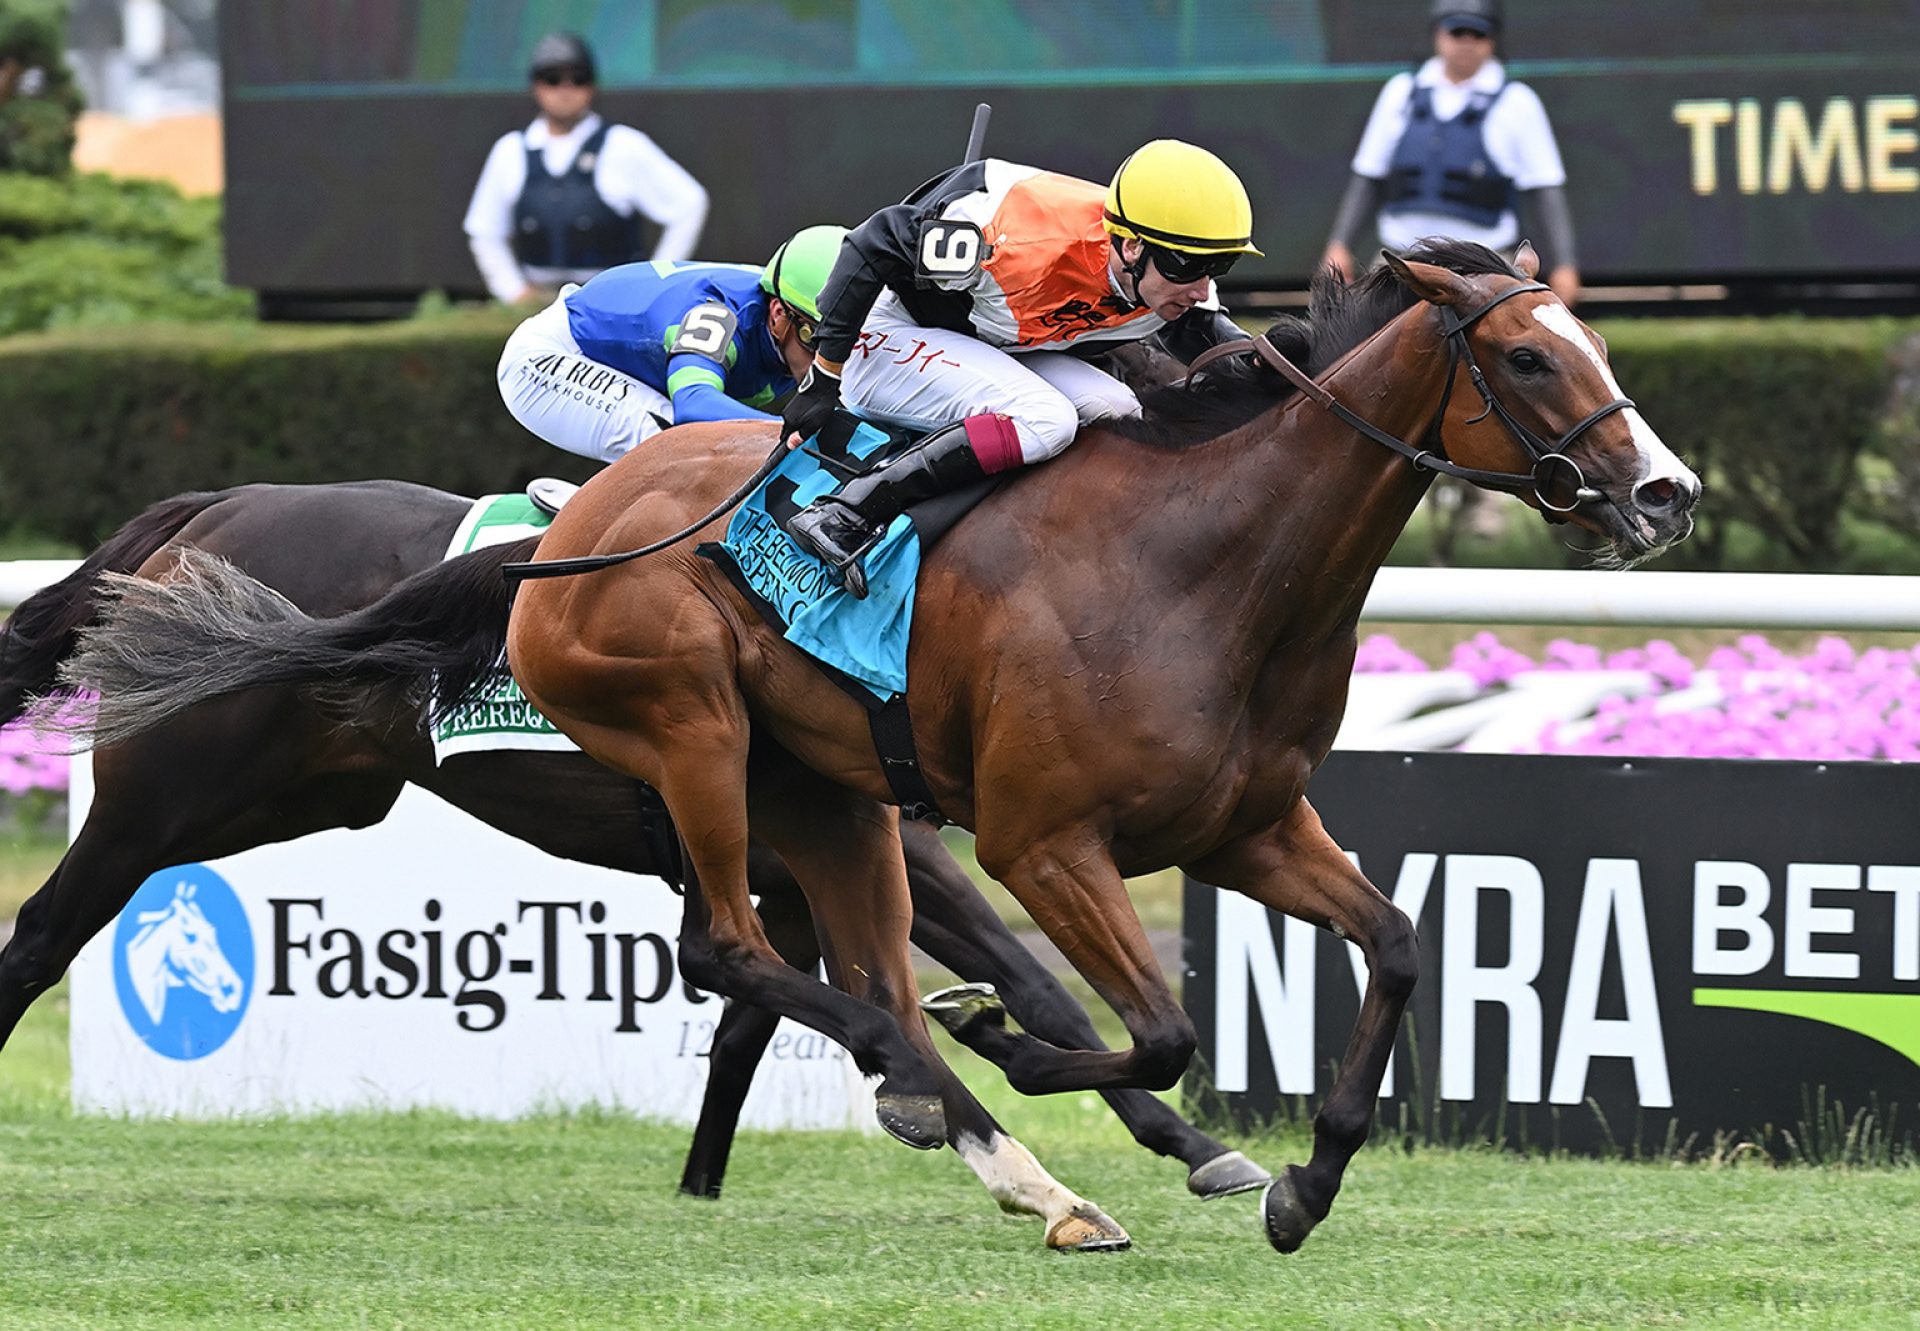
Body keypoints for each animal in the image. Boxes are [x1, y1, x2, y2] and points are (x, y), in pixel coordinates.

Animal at [7, 480, 1267, 1259]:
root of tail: (216, 504)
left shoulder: (800, 866)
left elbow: (770, 1021)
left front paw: (705, 1177)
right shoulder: (886, 845)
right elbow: (1023, 982)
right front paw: (1190, 1146)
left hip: (302, 796)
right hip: (165, 802)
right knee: (38, 935)